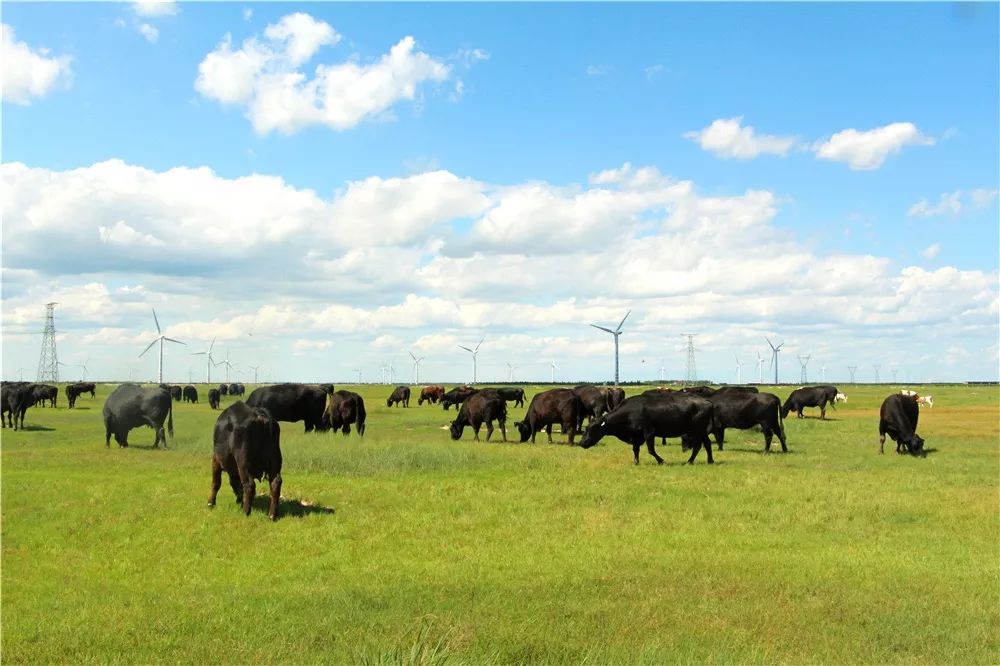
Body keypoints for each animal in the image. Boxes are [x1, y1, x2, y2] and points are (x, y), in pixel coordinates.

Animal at [576, 392, 716, 464]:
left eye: (590, 429)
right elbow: (635, 449)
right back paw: (710, 460)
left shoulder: (649, 432)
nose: (581, 443)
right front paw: (636, 462)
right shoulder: (636, 435)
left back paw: (690, 461)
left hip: (698, 430)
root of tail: (707, 402)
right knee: (707, 444)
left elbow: (650, 450)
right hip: (701, 431)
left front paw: (661, 461)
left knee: (698, 446)